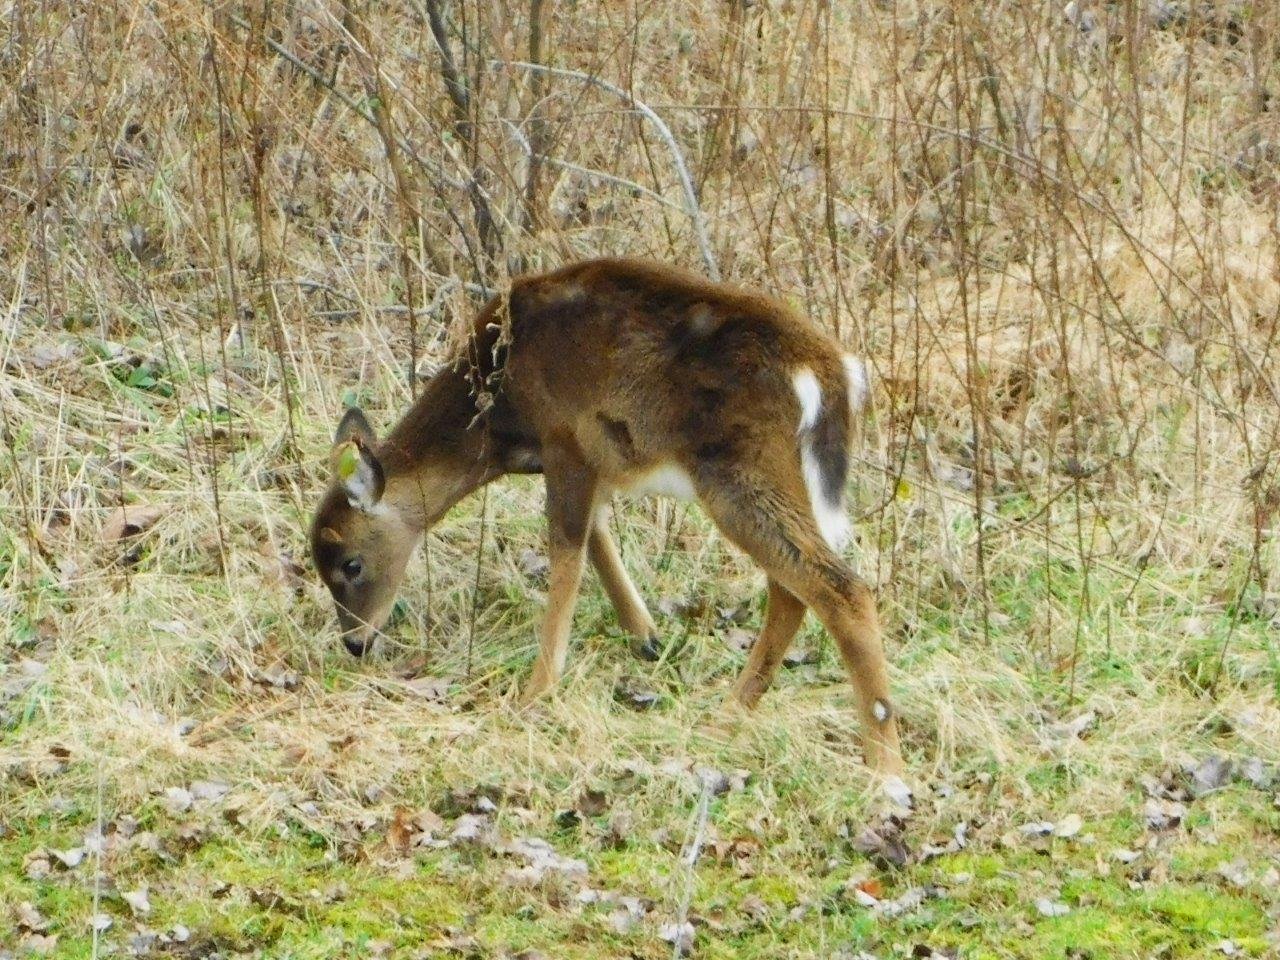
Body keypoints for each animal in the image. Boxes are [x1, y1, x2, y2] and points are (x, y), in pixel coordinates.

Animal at [309, 258, 905, 777]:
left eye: (350, 563)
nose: (355, 643)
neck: (498, 402)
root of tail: (832, 373)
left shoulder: (565, 437)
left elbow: (567, 555)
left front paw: (536, 693)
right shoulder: (594, 459)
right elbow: (597, 539)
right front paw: (646, 636)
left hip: (739, 473)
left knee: (838, 587)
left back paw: (883, 763)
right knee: (792, 589)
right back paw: (730, 713)